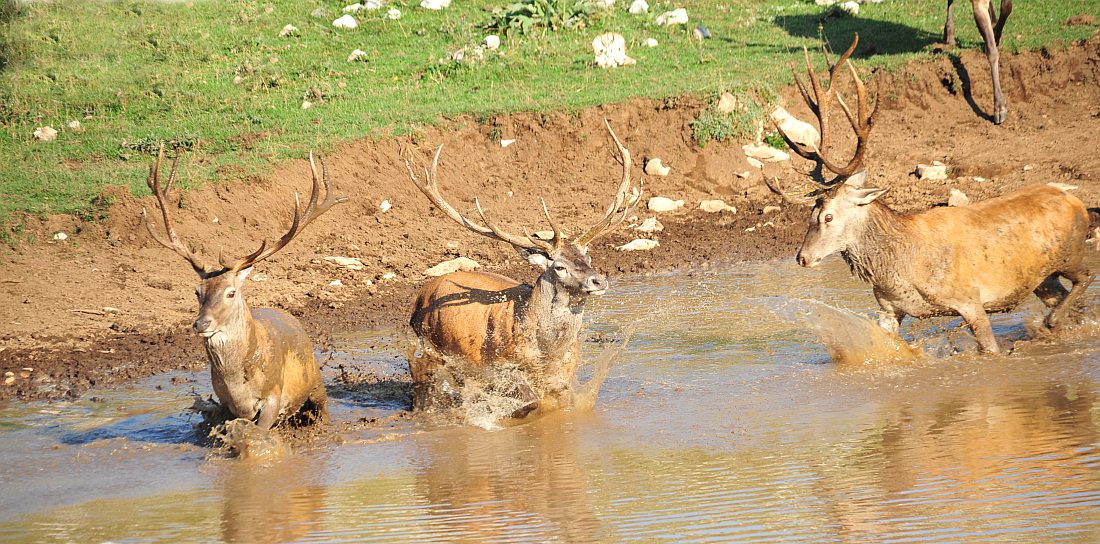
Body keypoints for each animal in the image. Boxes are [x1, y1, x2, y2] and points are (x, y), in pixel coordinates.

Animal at [144, 146, 343, 430]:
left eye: (231, 292)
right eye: (197, 292)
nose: (201, 323)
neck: (238, 387)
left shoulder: (273, 395)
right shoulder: (227, 406)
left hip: (316, 382)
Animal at [404, 121, 642, 419]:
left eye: (587, 256)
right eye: (559, 266)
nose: (598, 281)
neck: (547, 353)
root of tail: (419, 294)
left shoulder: (564, 378)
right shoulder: (502, 368)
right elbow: (528, 403)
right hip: (424, 348)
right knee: (423, 392)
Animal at [774, 36, 1091, 356]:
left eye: (828, 216)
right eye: (811, 214)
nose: (802, 257)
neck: (901, 268)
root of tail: (1076, 202)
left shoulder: (970, 299)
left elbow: (989, 349)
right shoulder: (889, 308)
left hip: (1070, 253)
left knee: (1086, 276)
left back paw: (1050, 322)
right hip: (1043, 278)